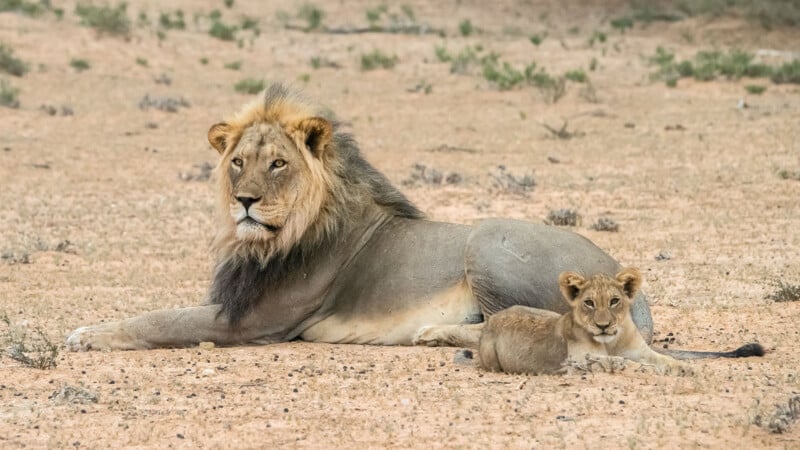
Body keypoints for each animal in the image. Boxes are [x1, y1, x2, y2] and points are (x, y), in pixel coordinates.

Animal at [66, 82, 659, 351]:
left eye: (278, 163)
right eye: (238, 162)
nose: (245, 201)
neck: (272, 240)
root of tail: (631, 291)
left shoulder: (260, 321)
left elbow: (161, 320)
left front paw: (86, 333)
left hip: (488, 240)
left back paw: (437, 333)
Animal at [478, 268, 765, 375]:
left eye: (614, 300)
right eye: (589, 303)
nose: (603, 325)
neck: (612, 341)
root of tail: (492, 321)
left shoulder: (640, 350)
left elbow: (662, 359)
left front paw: (682, 367)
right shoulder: (579, 361)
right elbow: (624, 364)